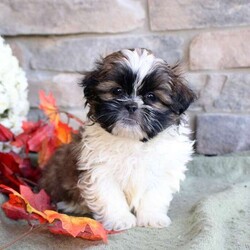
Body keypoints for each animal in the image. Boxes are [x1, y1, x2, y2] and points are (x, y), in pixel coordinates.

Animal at [40, 48, 196, 230]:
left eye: (151, 97)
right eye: (117, 91)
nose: (131, 105)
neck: (132, 141)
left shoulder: (164, 169)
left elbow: (154, 194)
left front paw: (151, 217)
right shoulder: (99, 169)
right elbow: (110, 195)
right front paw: (119, 219)